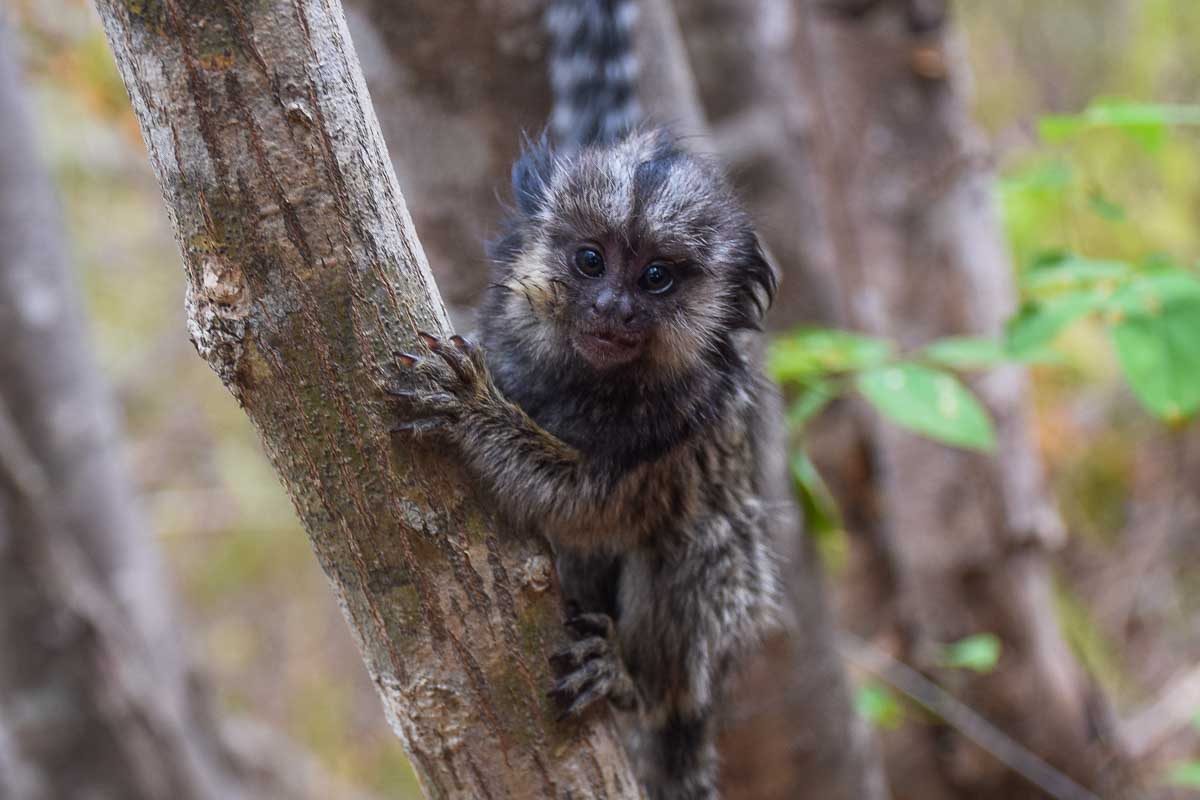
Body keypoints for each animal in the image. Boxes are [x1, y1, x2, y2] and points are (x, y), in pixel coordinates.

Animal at [390, 1, 780, 797]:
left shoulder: (683, 419)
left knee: (699, 544)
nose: (611, 308)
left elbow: (590, 504)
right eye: (591, 260)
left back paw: (634, 681)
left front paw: (474, 415)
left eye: (656, 277)